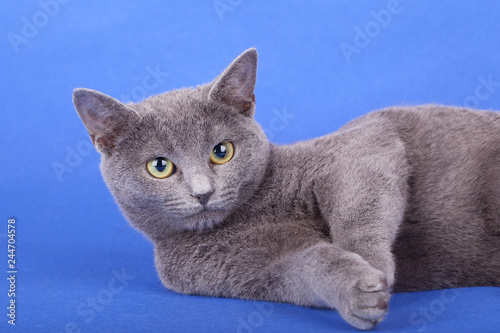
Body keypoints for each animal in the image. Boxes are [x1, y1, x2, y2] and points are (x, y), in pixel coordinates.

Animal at [73, 48, 500, 328]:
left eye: (221, 151)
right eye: (159, 167)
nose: (202, 192)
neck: (252, 211)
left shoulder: (363, 144)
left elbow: (358, 206)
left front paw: (371, 262)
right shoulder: (245, 269)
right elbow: (303, 267)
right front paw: (357, 291)